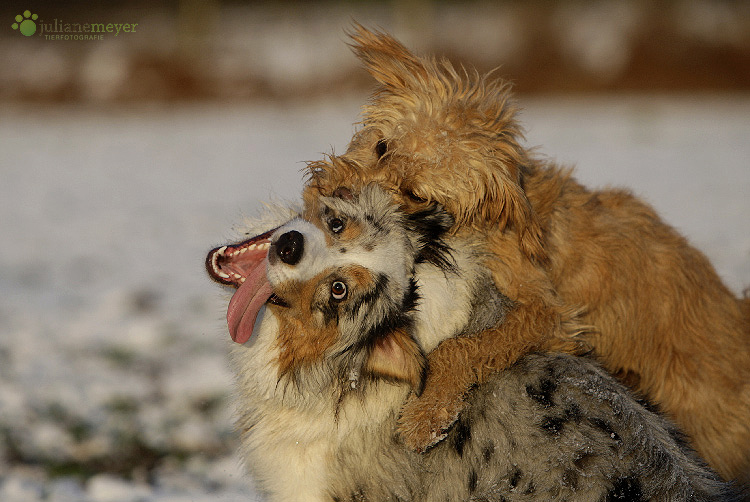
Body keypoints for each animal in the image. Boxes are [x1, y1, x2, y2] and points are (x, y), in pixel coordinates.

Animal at [302, 25, 750, 484]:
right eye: (381, 146)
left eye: (414, 193)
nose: (337, 201)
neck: (481, 223)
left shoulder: (552, 314)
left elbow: (463, 347)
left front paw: (427, 415)